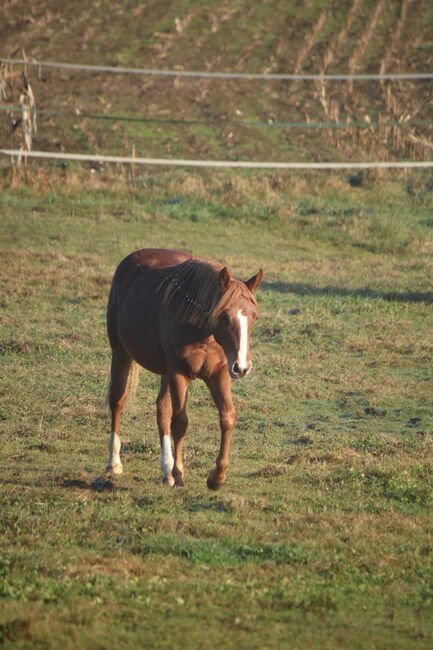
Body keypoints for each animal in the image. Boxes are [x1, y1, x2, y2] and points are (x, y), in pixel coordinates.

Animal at [106, 247, 262, 486]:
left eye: (254, 316)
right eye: (224, 316)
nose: (242, 367)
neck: (203, 333)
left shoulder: (219, 374)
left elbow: (227, 417)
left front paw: (217, 477)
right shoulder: (179, 373)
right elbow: (180, 422)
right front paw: (179, 472)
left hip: (165, 372)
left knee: (162, 409)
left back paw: (166, 470)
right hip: (121, 353)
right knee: (118, 402)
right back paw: (114, 463)